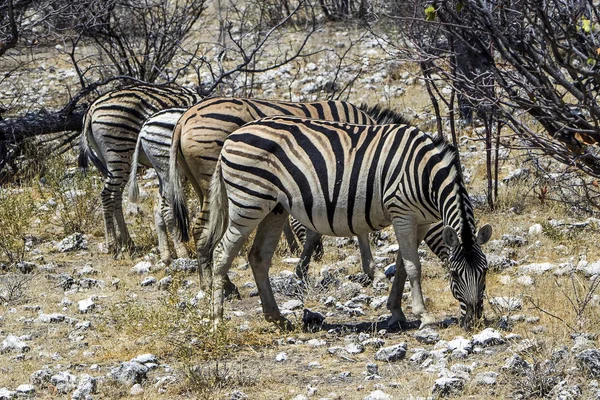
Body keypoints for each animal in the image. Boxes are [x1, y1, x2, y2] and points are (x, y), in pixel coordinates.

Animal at [76, 83, 199, 255]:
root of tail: (92, 106)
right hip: (118, 153)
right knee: (107, 195)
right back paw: (112, 244)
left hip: (118, 161)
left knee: (116, 196)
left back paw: (128, 242)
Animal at [206, 115, 492, 332]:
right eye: (454, 274)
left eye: (485, 272)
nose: (474, 321)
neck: (425, 175)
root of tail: (232, 135)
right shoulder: (402, 213)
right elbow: (413, 267)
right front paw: (424, 315)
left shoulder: (419, 221)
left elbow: (401, 266)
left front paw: (396, 312)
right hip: (247, 202)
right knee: (221, 253)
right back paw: (217, 319)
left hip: (274, 208)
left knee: (258, 257)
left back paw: (277, 318)